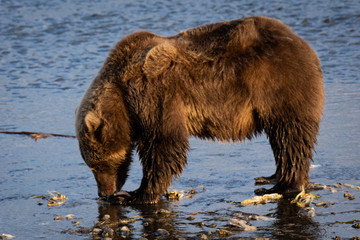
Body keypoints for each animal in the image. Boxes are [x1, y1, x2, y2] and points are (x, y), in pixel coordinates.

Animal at [75, 16, 324, 204]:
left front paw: (139, 194)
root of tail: (304, 44)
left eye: (96, 165)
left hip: (278, 86)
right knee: (282, 140)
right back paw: (269, 178)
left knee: (290, 137)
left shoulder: (154, 93)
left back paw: (284, 186)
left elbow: (164, 143)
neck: (123, 97)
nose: (104, 193)